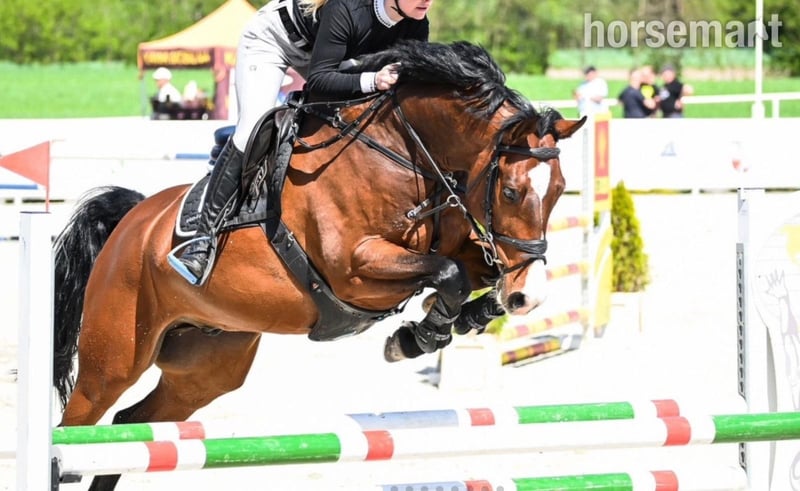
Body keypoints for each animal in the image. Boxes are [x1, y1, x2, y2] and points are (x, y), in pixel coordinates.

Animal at [51, 40, 585, 490]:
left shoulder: (458, 245)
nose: (528, 294)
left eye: (559, 190)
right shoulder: (354, 270)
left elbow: (474, 270)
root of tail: (132, 221)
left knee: (127, 430)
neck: (405, 153)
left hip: (207, 365)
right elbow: (448, 273)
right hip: (113, 358)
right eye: (511, 191)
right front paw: (417, 337)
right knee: (75, 427)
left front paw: (466, 317)